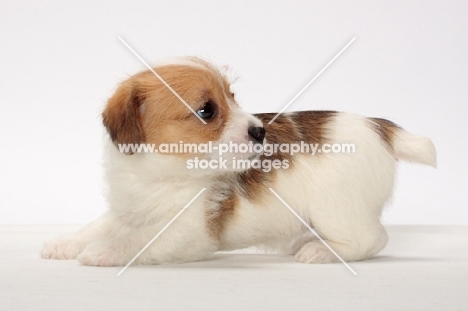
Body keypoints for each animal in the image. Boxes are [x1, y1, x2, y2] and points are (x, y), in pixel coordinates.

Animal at [42, 57, 436, 266]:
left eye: (232, 99)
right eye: (207, 110)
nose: (260, 131)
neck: (160, 172)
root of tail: (380, 126)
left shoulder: (189, 231)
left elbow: (141, 240)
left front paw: (106, 251)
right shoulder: (127, 211)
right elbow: (99, 226)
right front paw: (67, 243)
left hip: (336, 208)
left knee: (372, 239)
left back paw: (320, 250)